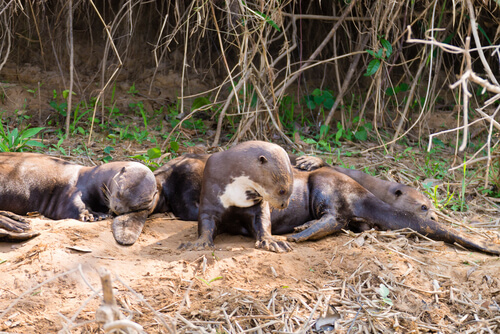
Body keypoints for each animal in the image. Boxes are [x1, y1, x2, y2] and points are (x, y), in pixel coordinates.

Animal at [0, 153, 157, 245]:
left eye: (134, 206)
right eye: (119, 192)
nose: (117, 209)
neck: (94, 176)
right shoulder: (75, 188)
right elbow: (72, 204)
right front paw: (92, 215)